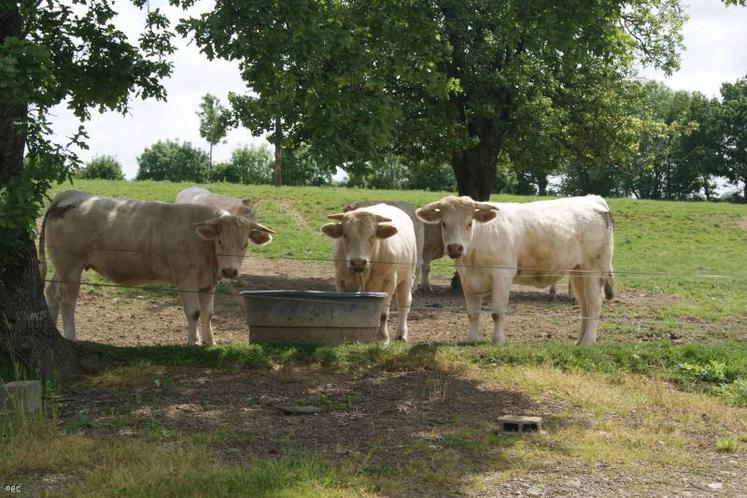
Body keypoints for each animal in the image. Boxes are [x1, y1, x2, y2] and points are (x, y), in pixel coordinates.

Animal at [39, 189, 274, 344]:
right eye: (219, 241)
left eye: (245, 244)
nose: (229, 271)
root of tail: (71, 195)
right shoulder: (186, 278)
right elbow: (194, 312)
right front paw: (193, 343)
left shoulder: (207, 283)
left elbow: (208, 314)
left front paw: (210, 343)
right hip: (70, 267)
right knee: (67, 299)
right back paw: (71, 336)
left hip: (61, 267)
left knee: (51, 292)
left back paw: (53, 327)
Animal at [320, 204, 418, 344]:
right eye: (345, 235)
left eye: (372, 237)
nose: (358, 262)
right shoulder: (341, 279)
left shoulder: (388, 281)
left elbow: (383, 313)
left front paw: (382, 338)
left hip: (407, 276)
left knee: (404, 302)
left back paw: (401, 334)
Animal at [414, 196, 612, 346]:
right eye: (444, 223)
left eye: (469, 223)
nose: (455, 248)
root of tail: (593, 199)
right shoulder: (467, 279)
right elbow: (472, 313)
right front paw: (472, 340)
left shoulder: (502, 275)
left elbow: (497, 312)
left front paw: (498, 341)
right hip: (578, 272)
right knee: (585, 305)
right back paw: (578, 341)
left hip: (594, 268)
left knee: (594, 303)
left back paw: (588, 342)